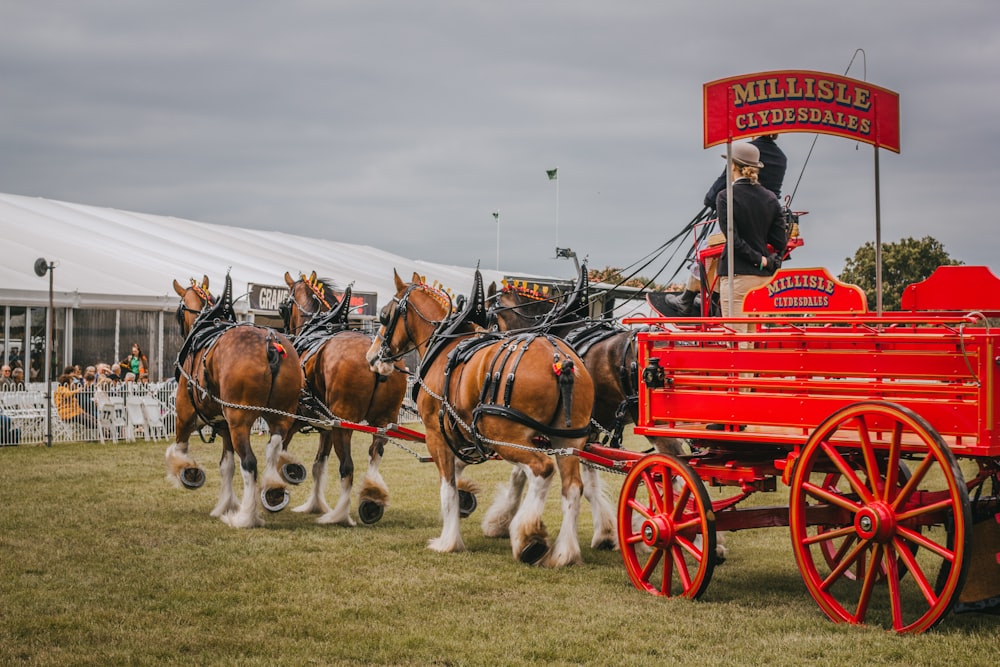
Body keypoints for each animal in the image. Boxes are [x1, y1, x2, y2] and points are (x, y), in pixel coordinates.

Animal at [168, 272, 302, 528]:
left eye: (178, 311)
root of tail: (270, 344)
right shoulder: (224, 426)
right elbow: (226, 466)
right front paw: (225, 505)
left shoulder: (184, 415)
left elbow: (179, 449)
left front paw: (187, 471)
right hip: (280, 417)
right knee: (273, 449)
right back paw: (272, 490)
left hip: (240, 421)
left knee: (249, 463)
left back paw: (245, 517)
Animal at [280, 272, 408, 528]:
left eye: (283, 307)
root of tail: (377, 360)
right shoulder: (326, 426)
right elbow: (318, 465)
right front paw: (314, 504)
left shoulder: (295, 419)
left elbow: (281, 452)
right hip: (384, 421)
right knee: (375, 453)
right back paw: (371, 498)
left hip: (344, 424)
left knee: (347, 467)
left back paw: (339, 515)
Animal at [364, 268, 612, 568]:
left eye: (384, 316)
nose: (372, 357)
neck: (445, 344)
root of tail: (560, 360)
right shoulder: (464, 434)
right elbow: (462, 473)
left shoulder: (437, 435)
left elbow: (447, 488)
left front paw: (448, 541)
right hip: (567, 440)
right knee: (573, 488)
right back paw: (565, 552)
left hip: (505, 436)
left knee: (542, 471)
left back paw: (529, 537)